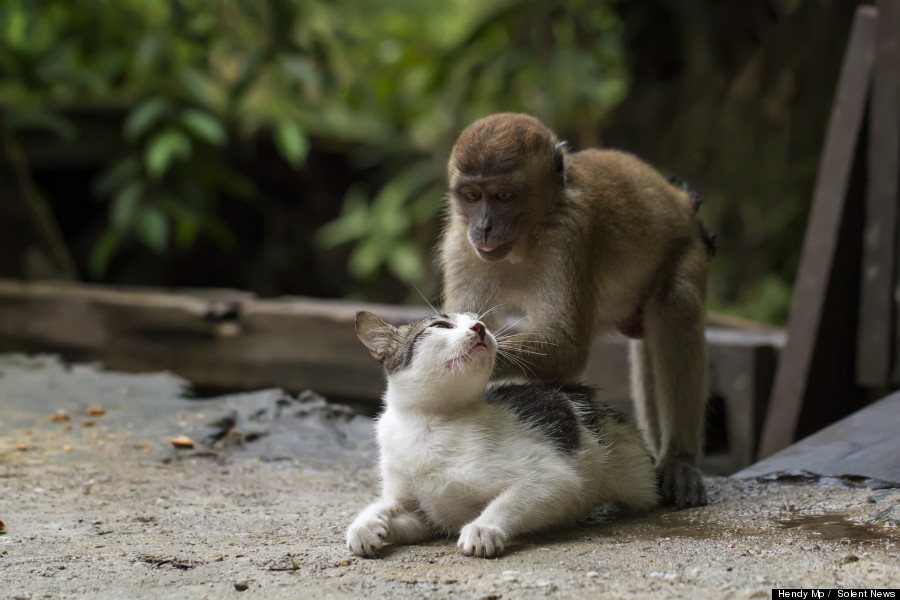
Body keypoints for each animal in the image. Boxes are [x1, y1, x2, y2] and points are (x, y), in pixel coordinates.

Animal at [348, 310, 656, 556]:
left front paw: (482, 529)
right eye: (440, 325)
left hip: (636, 477)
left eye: (477, 320)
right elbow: (389, 507)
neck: (427, 424)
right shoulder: (421, 515)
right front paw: (364, 526)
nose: (480, 327)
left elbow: (510, 501)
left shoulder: (553, 478)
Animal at [440, 111, 712, 506]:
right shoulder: (461, 244)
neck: (527, 236)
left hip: (691, 243)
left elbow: (567, 348)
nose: (484, 226)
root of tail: (680, 198)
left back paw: (679, 460)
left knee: (677, 300)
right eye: (472, 196)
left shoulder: (570, 234)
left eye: (503, 196)